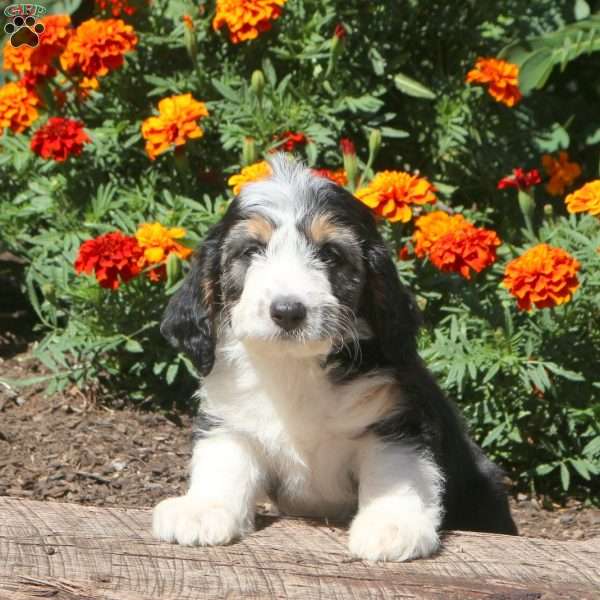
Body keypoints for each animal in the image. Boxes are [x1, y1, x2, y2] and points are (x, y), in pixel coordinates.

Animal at [154, 152, 516, 560]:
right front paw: (201, 510)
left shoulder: (396, 423)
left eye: (330, 253)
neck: (294, 366)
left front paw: (391, 527)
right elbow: (222, 462)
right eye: (250, 251)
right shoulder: (232, 422)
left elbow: (395, 474)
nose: (287, 311)